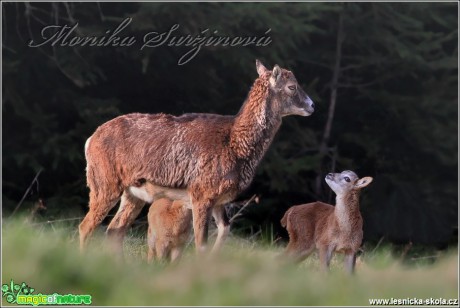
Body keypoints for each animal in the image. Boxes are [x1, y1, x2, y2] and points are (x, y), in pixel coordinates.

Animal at [80, 59, 316, 256]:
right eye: (292, 86)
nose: (312, 105)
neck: (234, 144)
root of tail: (90, 140)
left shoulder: (219, 198)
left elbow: (224, 231)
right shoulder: (201, 192)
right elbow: (201, 243)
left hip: (133, 193)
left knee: (114, 230)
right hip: (104, 183)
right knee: (86, 226)